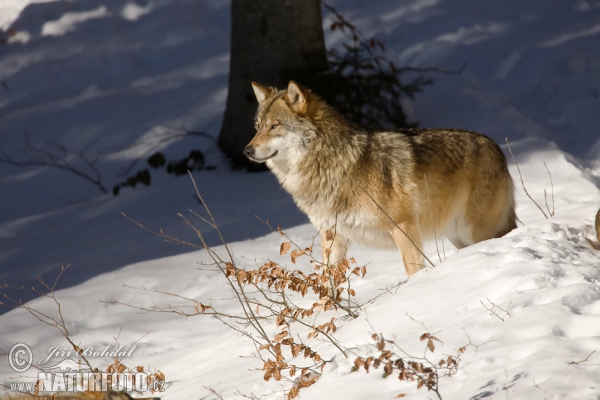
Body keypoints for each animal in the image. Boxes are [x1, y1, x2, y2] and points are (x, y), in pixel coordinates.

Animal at [244, 79, 516, 276]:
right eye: (257, 127)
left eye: (275, 126)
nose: (247, 151)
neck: (334, 165)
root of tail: (496, 147)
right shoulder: (332, 237)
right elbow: (327, 284)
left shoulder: (403, 227)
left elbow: (412, 270)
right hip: (458, 236)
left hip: (476, 232)